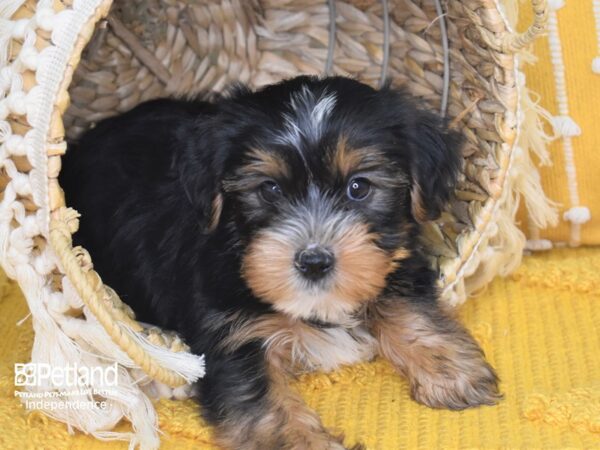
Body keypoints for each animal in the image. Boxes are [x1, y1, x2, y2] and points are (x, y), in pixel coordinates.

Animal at [61, 77, 502, 450]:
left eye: (358, 187)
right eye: (269, 189)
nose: (314, 261)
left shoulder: (393, 258)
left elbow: (406, 304)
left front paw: (451, 371)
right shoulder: (231, 334)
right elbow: (262, 398)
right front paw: (302, 441)